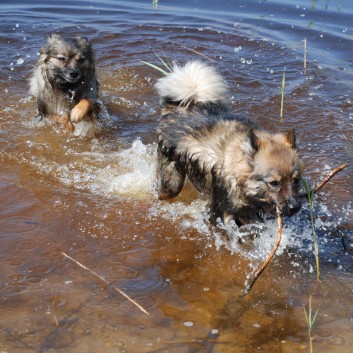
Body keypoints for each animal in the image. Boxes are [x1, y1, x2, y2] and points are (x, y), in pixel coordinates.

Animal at [155, 60, 302, 226]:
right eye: (274, 183)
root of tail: (177, 107)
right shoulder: (220, 214)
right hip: (172, 183)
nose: (295, 207)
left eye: (296, 181)